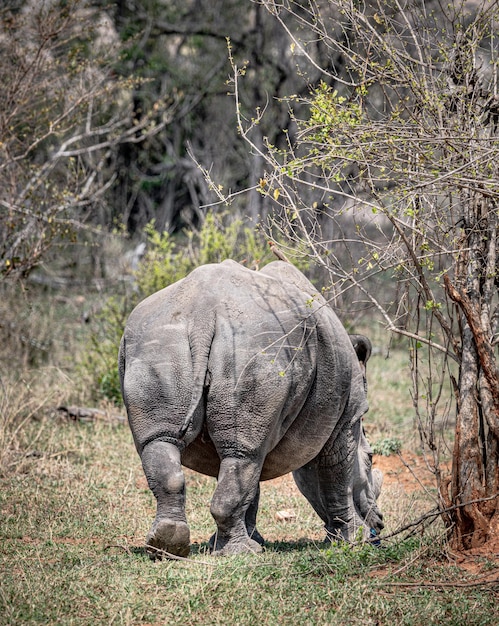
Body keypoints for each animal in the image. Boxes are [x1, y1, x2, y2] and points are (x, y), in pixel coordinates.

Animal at [119, 258, 384, 556]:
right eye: (371, 459)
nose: (380, 524)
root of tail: (202, 314)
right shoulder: (347, 417)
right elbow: (337, 473)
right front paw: (353, 539)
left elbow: (251, 485)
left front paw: (241, 540)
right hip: (253, 348)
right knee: (243, 455)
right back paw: (240, 551)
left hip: (160, 341)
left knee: (175, 444)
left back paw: (167, 544)